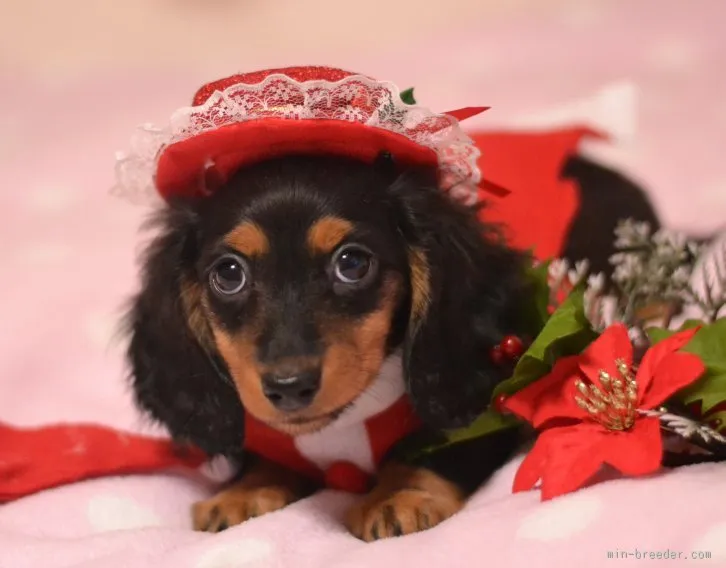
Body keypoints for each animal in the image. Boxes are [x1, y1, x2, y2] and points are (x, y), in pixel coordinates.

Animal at [125, 152, 660, 540]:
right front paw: (244, 491)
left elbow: (441, 443)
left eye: (352, 263)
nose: (289, 386)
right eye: (229, 273)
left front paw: (399, 494)